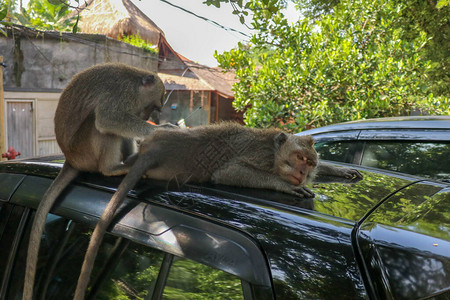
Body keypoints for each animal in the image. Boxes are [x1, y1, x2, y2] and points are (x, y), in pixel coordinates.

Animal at [23, 63, 171, 300]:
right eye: (153, 106)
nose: (147, 116)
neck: (134, 82)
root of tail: (70, 159)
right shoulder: (118, 95)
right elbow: (108, 119)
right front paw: (161, 130)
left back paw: (129, 160)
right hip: (84, 150)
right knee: (99, 124)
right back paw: (111, 169)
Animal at [74, 122, 362, 300]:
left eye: (309, 162)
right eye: (299, 159)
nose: (303, 173)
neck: (274, 152)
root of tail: (155, 148)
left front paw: (339, 170)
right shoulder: (260, 157)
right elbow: (230, 172)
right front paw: (286, 186)